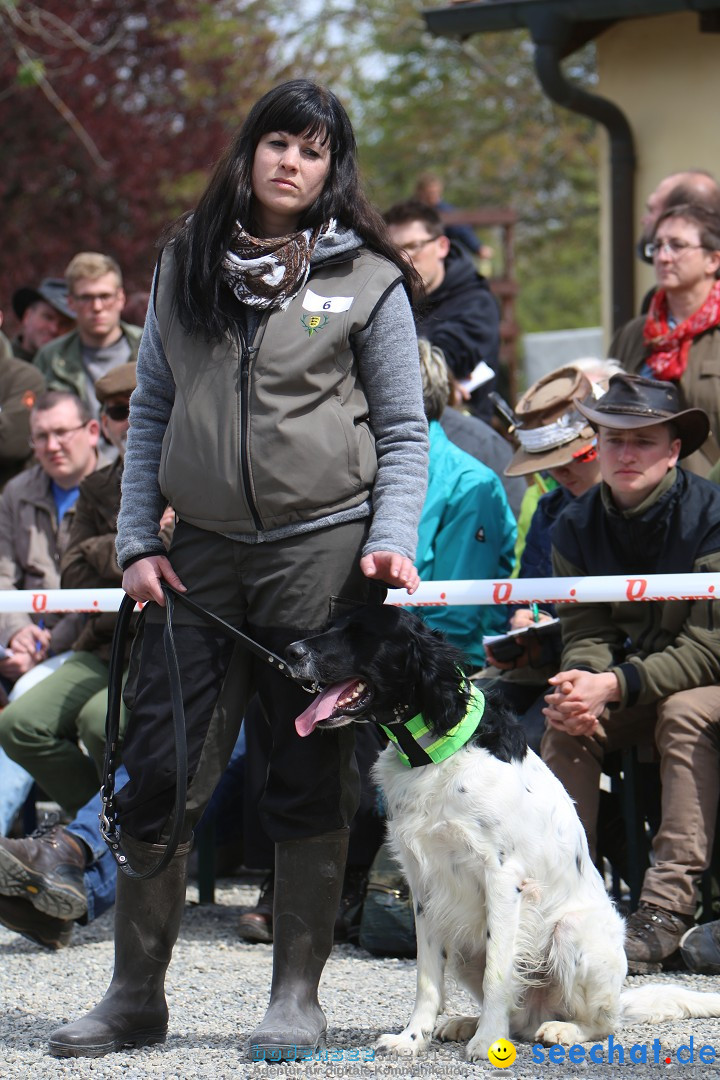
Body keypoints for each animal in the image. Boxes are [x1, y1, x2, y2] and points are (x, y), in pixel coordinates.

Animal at [289, 609, 720, 1062]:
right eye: (331, 625)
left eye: (359, 633)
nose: (290, 652)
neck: (435, 754)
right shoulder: (425, 887)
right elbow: (427, 977)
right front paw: (413, 1038)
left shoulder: (503, 878)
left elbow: (499, 973)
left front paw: (487, 1043)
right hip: (464, 946)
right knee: (521, 1016)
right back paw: (466, 1022)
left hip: (571, 933)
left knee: (602, 1023)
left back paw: (561, 1029)